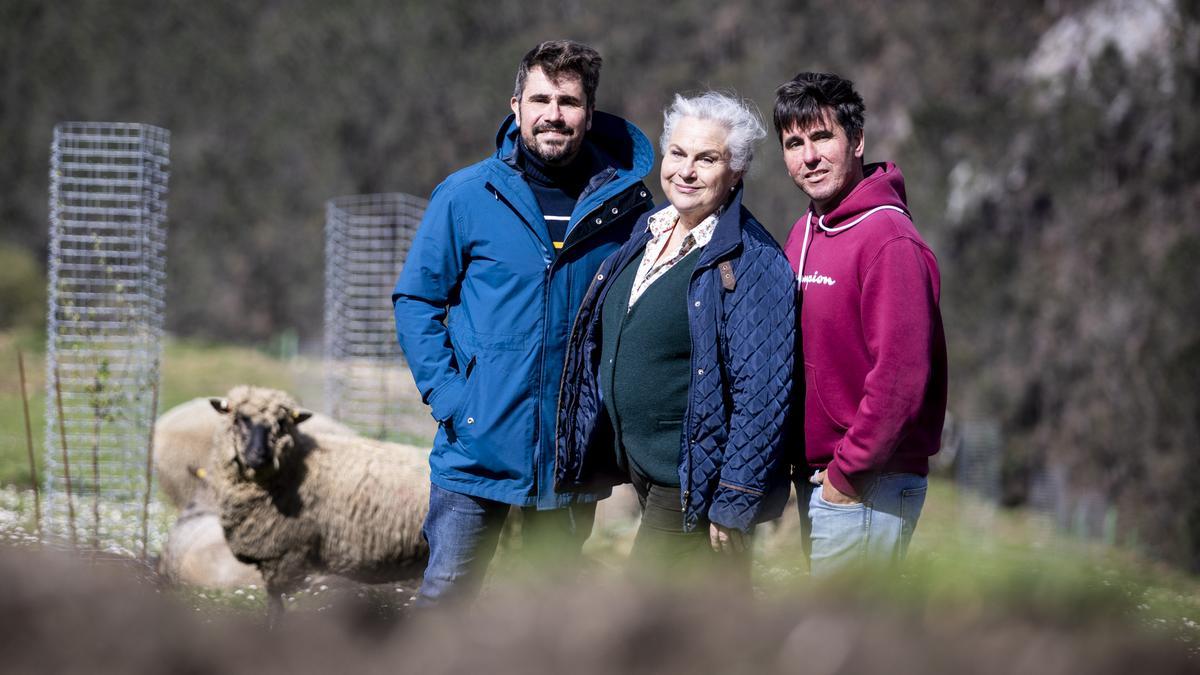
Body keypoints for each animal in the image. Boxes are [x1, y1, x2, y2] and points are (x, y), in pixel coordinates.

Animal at [207, 384, 432, 619]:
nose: (259, 456)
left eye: (281, 423)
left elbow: (277, 606)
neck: (295, 466)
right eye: (239, 418)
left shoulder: (286, 554)